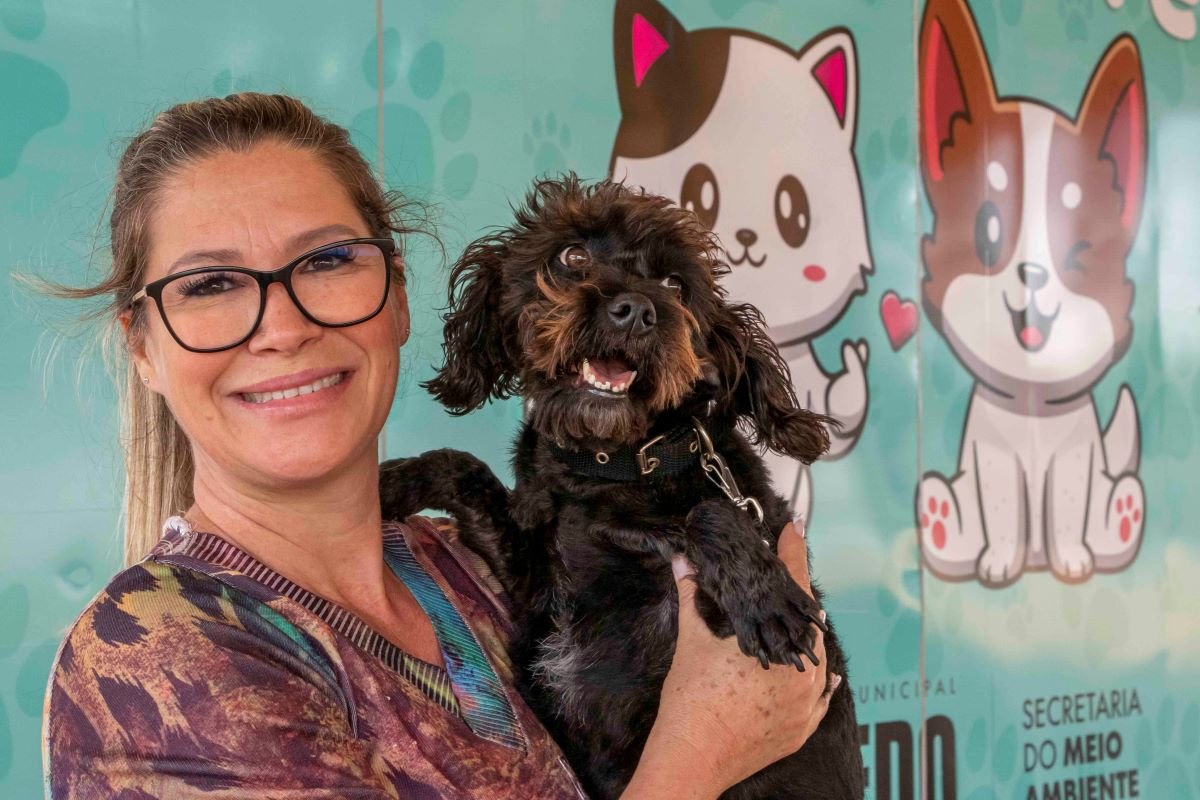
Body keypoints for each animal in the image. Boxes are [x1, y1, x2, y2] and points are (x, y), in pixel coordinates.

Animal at [380, 176, 864, 798]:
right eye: (572, 256)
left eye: (676, 284)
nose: (635, 310)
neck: (609, 468)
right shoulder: (533, 579)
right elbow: (462, 467)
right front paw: (390, 483)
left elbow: (707, 512)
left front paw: (765, 599)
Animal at [915, 0, 1148, 587]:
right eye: (988, 231)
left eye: (1078, 250)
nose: (1034, 274)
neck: (1032, 408)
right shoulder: (994, 461)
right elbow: (1002, 516)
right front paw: (1000, 561)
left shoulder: (1075, 460)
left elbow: (1065, 512)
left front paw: (1072, 560)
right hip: (948, 490)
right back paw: (942, 524)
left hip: (1111, 489)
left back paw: (1124, 518)